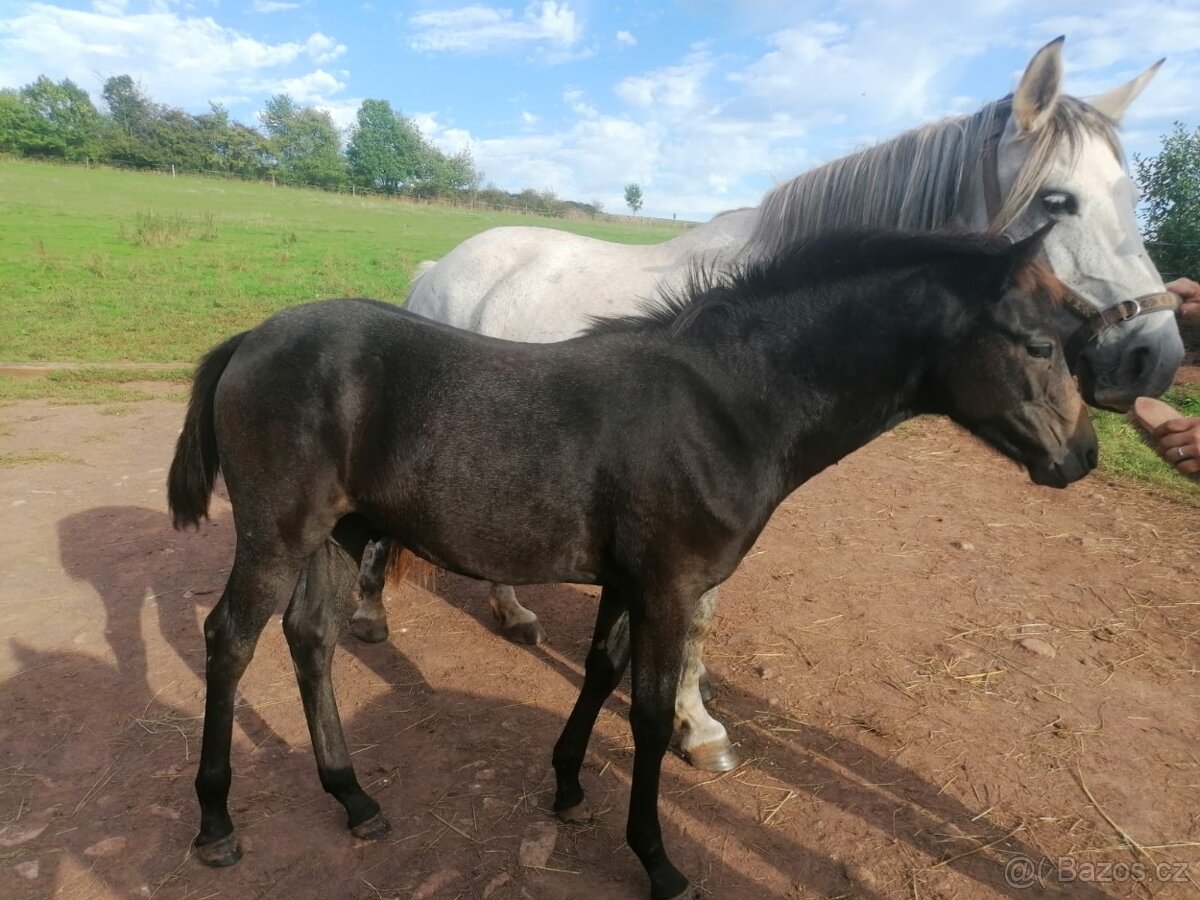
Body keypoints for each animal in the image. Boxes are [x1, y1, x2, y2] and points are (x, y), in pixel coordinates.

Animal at [168, 224, 1097, 900]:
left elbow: (598, 672)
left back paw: (356, 798)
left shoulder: (627, 581)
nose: (1082, 457)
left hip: (339, 533)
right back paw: (215, 825)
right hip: (279, 534)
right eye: (1038, 344)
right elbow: (650, 715)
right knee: (231, 639)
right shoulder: (671, 587)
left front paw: (570, 790)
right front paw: (657, 860)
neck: (726, 406)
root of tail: (251, 339)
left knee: (311, 639)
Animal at [348, 36, 1182, 774]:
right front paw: (699, 728)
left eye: (1131, 196)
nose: (1156, 355)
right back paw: (371, 615)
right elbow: (698, 621)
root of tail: (443, 263)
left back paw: (511, 613)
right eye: (1057, 200)